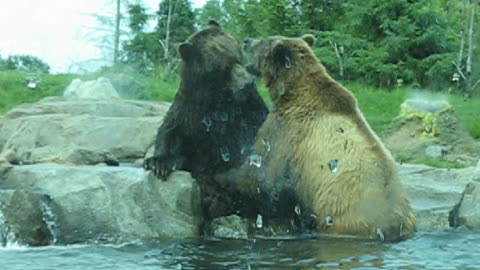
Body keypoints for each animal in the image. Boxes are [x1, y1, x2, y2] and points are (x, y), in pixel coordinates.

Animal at [144, 21, 268, 217]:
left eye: (238, 56)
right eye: (224, 67)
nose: (248, 83)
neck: (216, 97)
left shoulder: (247, 107)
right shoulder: (190, 109)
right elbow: (171, 130)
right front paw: (158, 163)